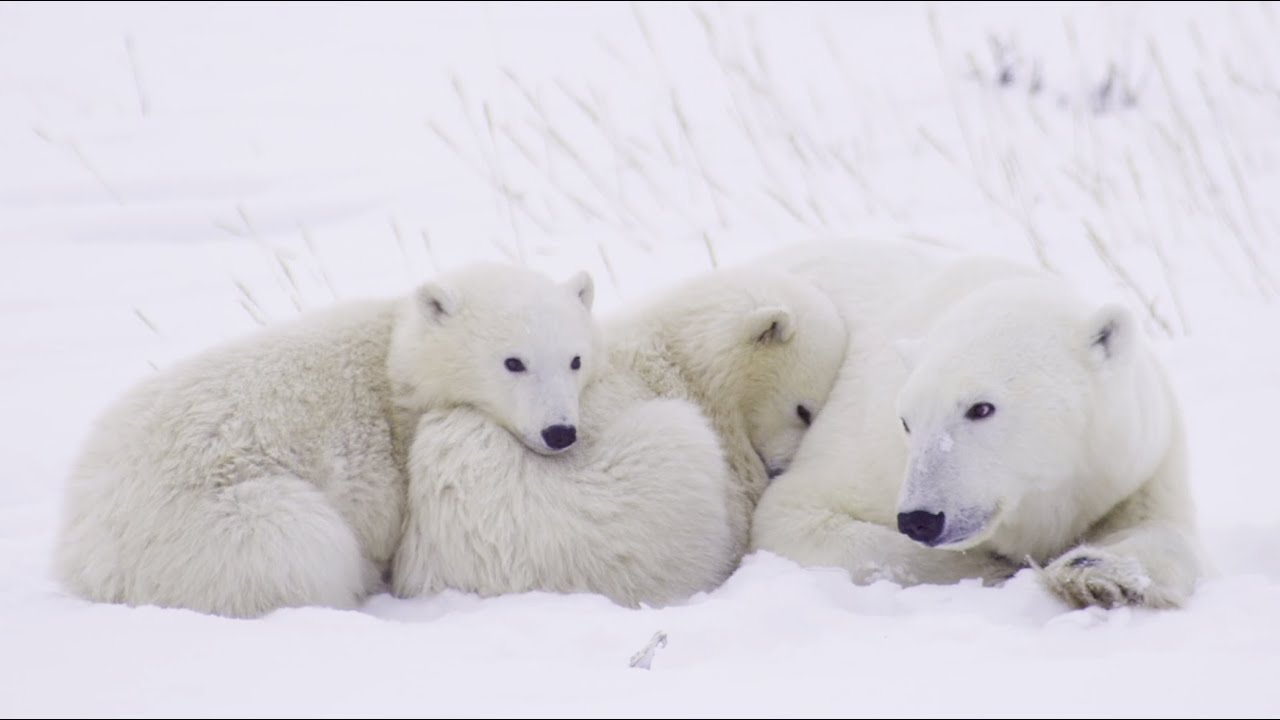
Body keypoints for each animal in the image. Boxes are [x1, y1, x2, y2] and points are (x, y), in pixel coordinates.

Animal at [49, 262, 599, 617]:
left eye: (575, 359)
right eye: (513, 362)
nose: (560, 432)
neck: (395, 367)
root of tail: (85, 549)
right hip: (212, 521)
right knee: (303, 544)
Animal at [747, 239, 1198, 604]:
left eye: (981, 408)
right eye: (906, 421)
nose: (920, 519)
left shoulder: (1134, 459)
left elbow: (1165, 530)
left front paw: (1095, 574)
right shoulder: (869, 451)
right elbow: (789, 515)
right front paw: (995, 567)